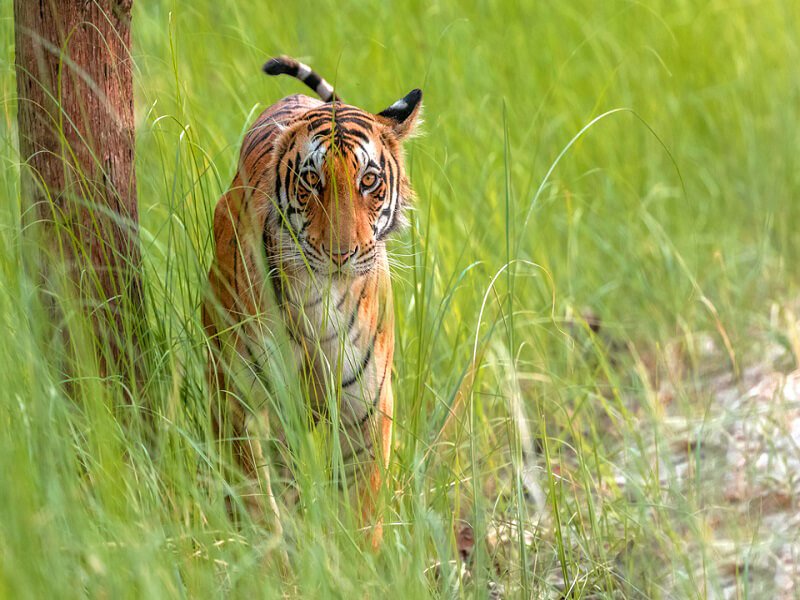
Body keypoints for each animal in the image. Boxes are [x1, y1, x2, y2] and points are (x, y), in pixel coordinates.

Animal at [202, 55, 422, 547]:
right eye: (312, 181)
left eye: (369, 180)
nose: (341, 253)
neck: (318, 299)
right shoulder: (245, 402)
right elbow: (257, 505)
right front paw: (272, 558)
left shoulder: (366, 407)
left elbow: (361, 510)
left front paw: (357, 559)